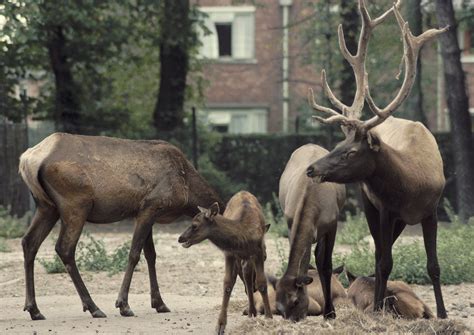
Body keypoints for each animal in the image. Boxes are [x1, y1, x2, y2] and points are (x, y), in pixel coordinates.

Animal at [19, 133, 223, 322]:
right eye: (194, 225)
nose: (182, 239)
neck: (188, 189)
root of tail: (27, 160)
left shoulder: (145, 214)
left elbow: (151, 256)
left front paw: (159, 303)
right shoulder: (150, 206)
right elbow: (134, 254)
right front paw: (123, 305)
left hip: (47, 207)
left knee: (29, 242)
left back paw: (34, 309)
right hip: (75, 205)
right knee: (64, 248)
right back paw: (93, 307)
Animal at [178, 192, 272, 335]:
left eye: (194, 225)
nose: (180, 238)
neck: (244, 235)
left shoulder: (259, 252)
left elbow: (261, 283)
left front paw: (269, 317)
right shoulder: (229, 253)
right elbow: (227, 284)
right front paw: (220, 325)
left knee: (249, 278)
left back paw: (253, 312)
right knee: (247, 279)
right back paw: (251, 312)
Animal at [274, 145, 344, 322]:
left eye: (295, 300)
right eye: (278, 305)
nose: (294, 319)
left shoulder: (332, 225)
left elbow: (326, 265)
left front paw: (330, 312)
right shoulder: (290, 222)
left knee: (319, 257)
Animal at [308, 0, 448, 320]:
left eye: (350, 151)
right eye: (338, 143)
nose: (312, 168)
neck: (413, 184)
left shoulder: (431, 210)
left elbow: (434, 265)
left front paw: (443, 313)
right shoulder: (385, 209)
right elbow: (385, 262)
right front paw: (378, 306)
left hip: (398, 220)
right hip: (371, 204)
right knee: (378, 255)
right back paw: (377, 303)